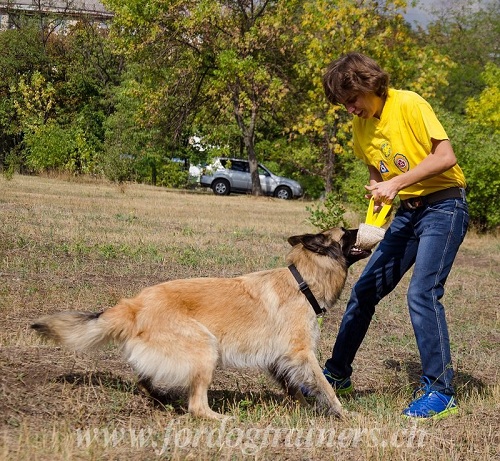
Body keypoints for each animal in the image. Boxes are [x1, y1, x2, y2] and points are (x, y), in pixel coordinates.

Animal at [30, 228, 368, 418]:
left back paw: (162, 397)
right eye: (346, 232)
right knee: (197, 407)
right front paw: (342, 413)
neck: (303, 281)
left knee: (145, 378)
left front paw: (303, 407)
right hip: (206, 348)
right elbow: (324, 385)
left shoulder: (279, 358)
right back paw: (221, 419)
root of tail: (135, 305)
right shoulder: (301, 353)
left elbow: (295, 386)